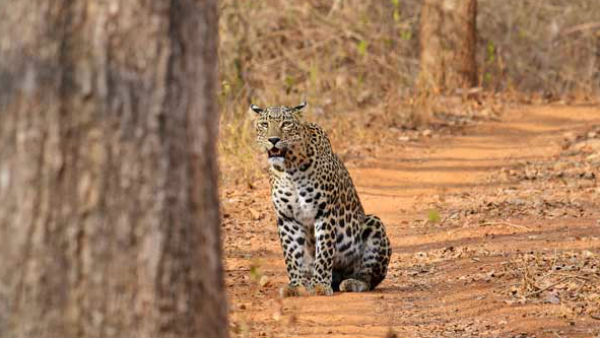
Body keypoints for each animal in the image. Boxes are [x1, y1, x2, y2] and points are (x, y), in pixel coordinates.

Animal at [251, 101, 392, 298]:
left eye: (286, 124)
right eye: (264, 124)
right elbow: (292, 252)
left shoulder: (325, 211)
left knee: (370, 277)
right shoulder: (287, 217)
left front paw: (320, 285)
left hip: (373, 224)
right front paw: (295, 285)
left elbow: (325, 249)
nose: (273, 139)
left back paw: (351, 282)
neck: (289, 168)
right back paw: (308, 281)